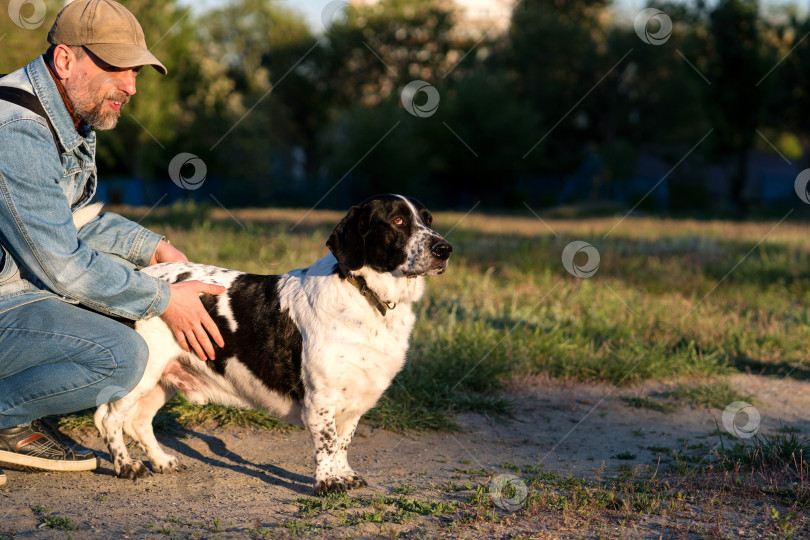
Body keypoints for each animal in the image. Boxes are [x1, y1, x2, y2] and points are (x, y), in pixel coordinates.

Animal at [81, 193, 448, 494]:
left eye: (428, 219)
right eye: (398, 221)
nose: (445, 249)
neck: (366, 297)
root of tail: (144, 273)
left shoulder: (354, 398)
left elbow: (343, 442)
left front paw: (344, 475)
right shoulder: (321, 400)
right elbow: (327, 444)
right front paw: (329, 483)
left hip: (163, 380)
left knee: (138, 421)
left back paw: (162, 461)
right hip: (143, 372)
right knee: (108, 418)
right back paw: (126, 466)